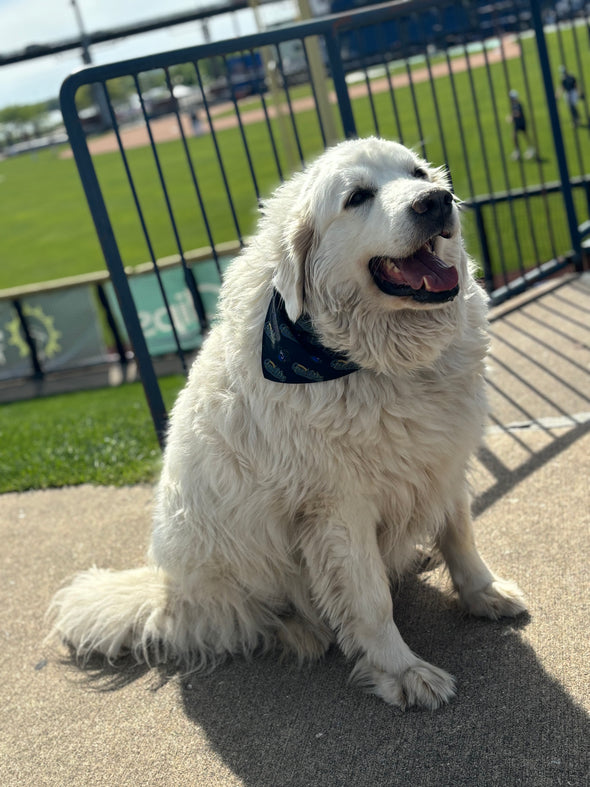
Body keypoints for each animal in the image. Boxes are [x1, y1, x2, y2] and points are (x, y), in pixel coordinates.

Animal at [47, 139, 528, 712]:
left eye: (418, 174)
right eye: (357, 197)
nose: (435, 201)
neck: (374, 360)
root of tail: (166, 595)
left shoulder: (443, 457)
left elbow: (460, 536)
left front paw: (484, 593)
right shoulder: (336, 508)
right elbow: (370, 600)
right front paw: (401, 671)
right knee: (242, 622)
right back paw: (301, 631)